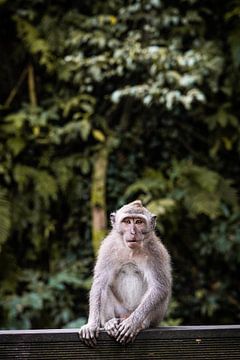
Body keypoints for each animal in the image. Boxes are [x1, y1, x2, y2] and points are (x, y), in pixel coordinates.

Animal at [79, 200, 172, 346]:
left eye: (139, 222)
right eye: (127, 221)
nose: (133, 232)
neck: (131, 250)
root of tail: (126, 314)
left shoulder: (156, 252)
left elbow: (159, 287)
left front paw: (133, 324)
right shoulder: (108, 249)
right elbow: (100, 285)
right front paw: (92, 324)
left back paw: (139, 324)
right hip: (120, 311)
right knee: (105, 289)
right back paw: (110, 322)